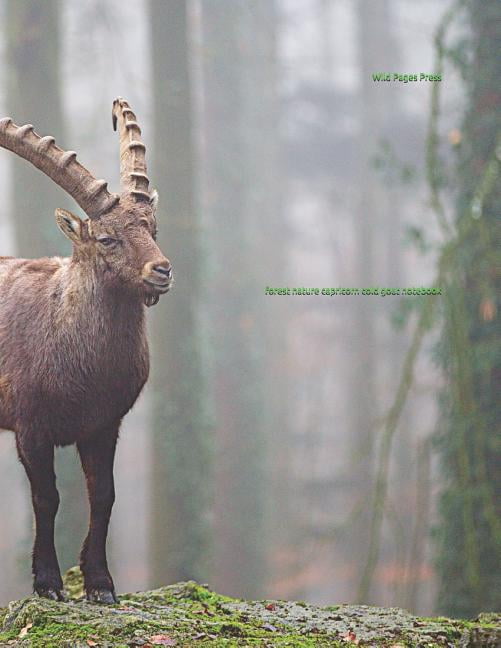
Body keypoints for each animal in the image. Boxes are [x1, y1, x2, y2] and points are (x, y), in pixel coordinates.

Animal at [0, 98, 172, 603]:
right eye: (107, 238)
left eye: (152, 228)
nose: (162, 270)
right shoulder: (30, 428)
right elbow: (47, 498)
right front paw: (48, 583)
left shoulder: (103, 425)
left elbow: (104, 495)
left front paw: (100, 585)